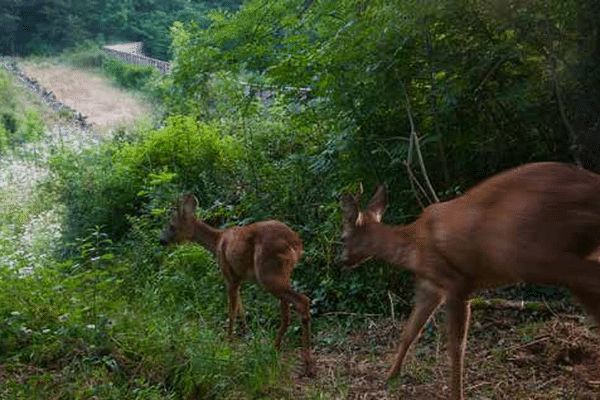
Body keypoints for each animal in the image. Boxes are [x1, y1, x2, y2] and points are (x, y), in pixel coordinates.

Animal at [159, 194, 314, 376]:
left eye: (172, 225)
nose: (161, 240)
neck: (217, 242)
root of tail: (296, 244)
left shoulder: (229, 274)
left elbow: (231, 310)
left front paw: (228, 341)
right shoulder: (239, 278)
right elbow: (240, 307)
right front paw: (246, 333)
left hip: (268, 273)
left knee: (302, 301)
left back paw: (307, 363)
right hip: (282, 275)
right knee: (287, 313)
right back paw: (275, 347)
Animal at [340, 162, 600, 400]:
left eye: (342, 237)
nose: (340, 260)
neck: (412, 248)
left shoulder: (457, 283)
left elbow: (457, 347)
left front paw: (456, 394)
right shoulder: (431, 287)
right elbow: (409, 332)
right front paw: (390, 377)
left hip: (531, 253)